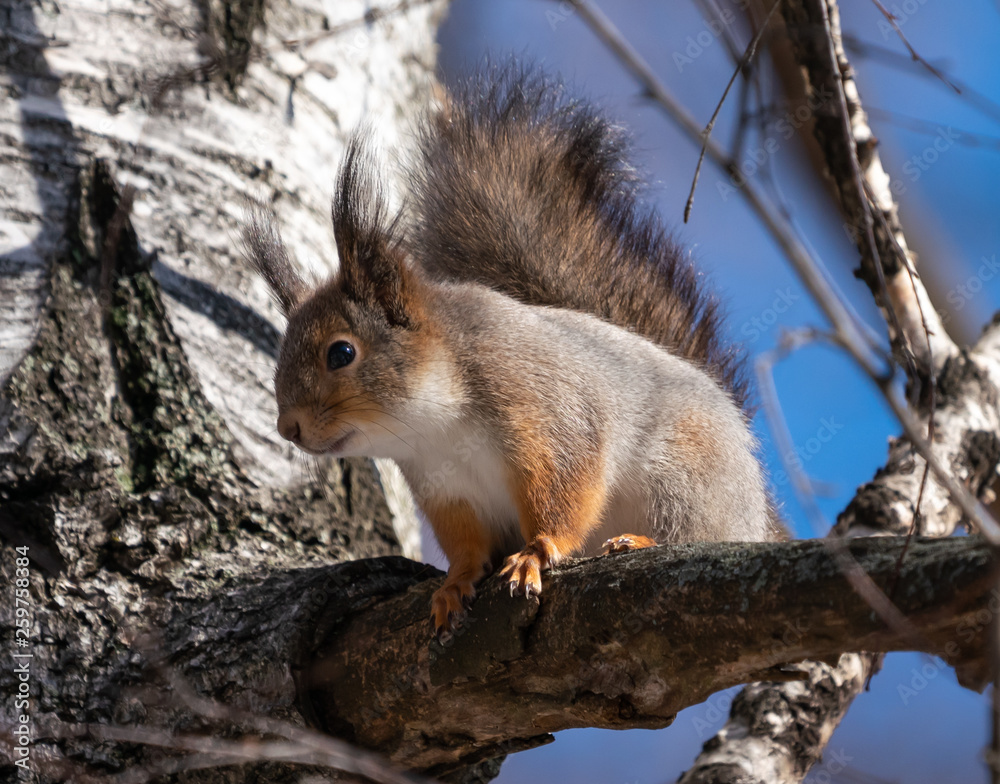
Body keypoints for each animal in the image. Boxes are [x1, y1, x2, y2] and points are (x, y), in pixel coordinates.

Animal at [242, 67, 781, 639]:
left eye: (341, 352)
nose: (288, 428)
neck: (433, 422)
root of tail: (758, 514)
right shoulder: (446, 489)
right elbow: (466, 545)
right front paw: (455, 583)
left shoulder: (551, 417)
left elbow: (567, 492)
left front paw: (537, 553)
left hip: (685, 479)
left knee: (695, 532)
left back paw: (639, 541)